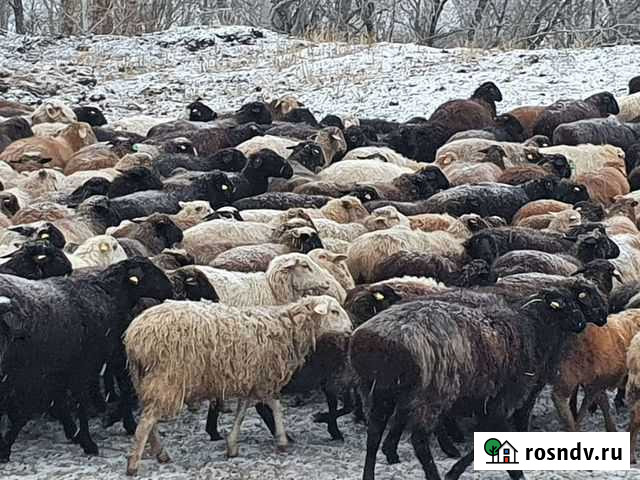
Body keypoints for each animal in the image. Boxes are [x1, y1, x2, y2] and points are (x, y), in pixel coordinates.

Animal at [124, 294, 350, 474]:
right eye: (334, 311)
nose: (350, 329)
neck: (286, 329)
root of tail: (135, 335)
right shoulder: (264, 378)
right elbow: (274, 406)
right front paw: (282, 441)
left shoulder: (251, 379)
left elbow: (242, 411)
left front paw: (232, 445)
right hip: (166, 378)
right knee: (146, 422)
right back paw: (134, 465)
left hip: (143, 379)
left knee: (148, 418)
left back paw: (160, 453)